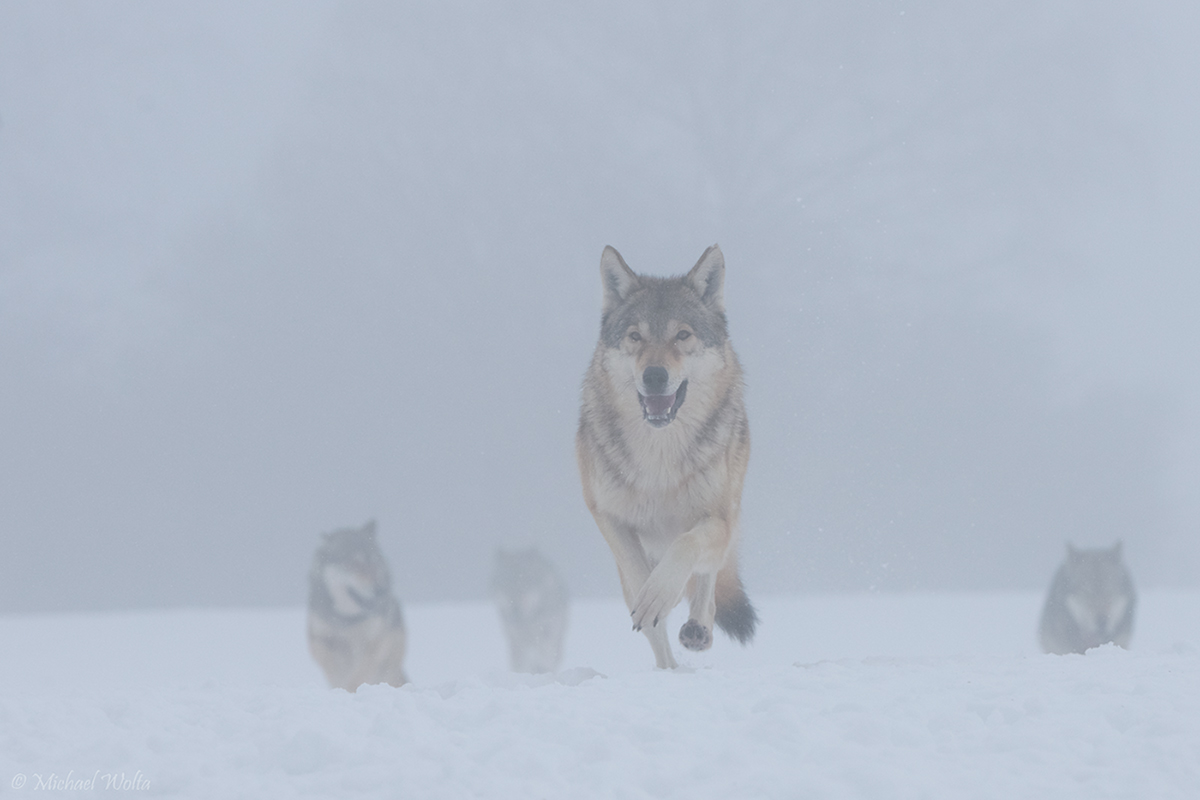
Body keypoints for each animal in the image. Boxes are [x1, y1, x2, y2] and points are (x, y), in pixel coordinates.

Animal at [304, 522, 408, 690]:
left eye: (374, 562)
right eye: (355, 564)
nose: (381, 589)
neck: (347, 618)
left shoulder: (375, 642)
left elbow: (361, 671)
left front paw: (351, 687)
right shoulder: (319, 639)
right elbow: (330, 665)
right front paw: (339, 682)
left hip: (390, 661)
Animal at [573, 244, 753, 671]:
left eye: (682, 335)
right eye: (635, 336)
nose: (654, 375)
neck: (659, 456)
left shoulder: (716, 519)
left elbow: (687, 551)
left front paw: (664, 596)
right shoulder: (607, 515)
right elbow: (640, 583)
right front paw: (652, 604)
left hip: (729, 513)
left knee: (707, 578)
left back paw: (698, 629)